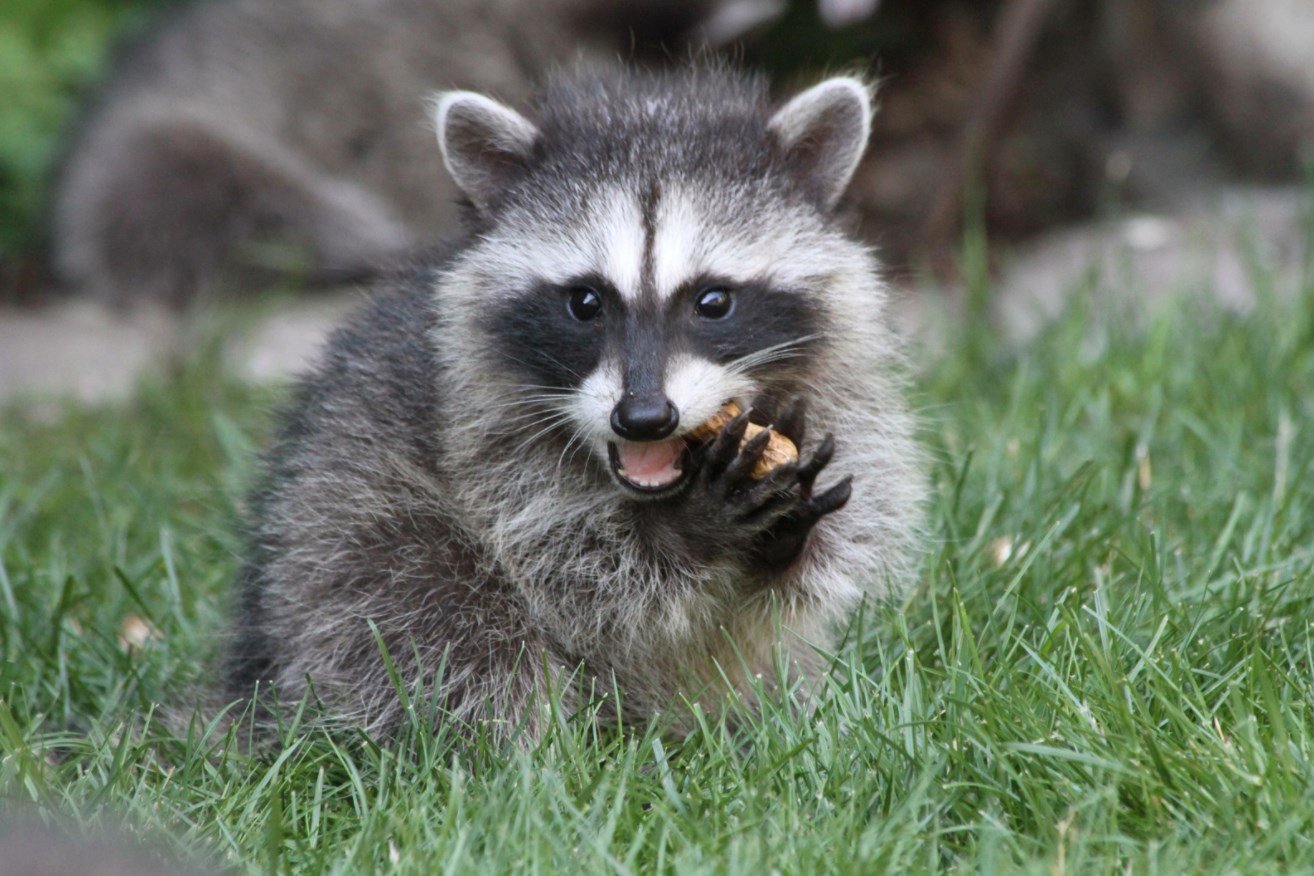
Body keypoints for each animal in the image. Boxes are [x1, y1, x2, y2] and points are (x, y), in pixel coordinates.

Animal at [223, 66, 924, 743]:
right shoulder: (477, 437)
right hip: (337, 549)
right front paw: (689, 529)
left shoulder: (841, 393)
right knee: (445, 622)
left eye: (714, 301)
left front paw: (788, 526)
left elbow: (837, 542)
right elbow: (572, 570)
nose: (644, 418)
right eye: (585, 302)